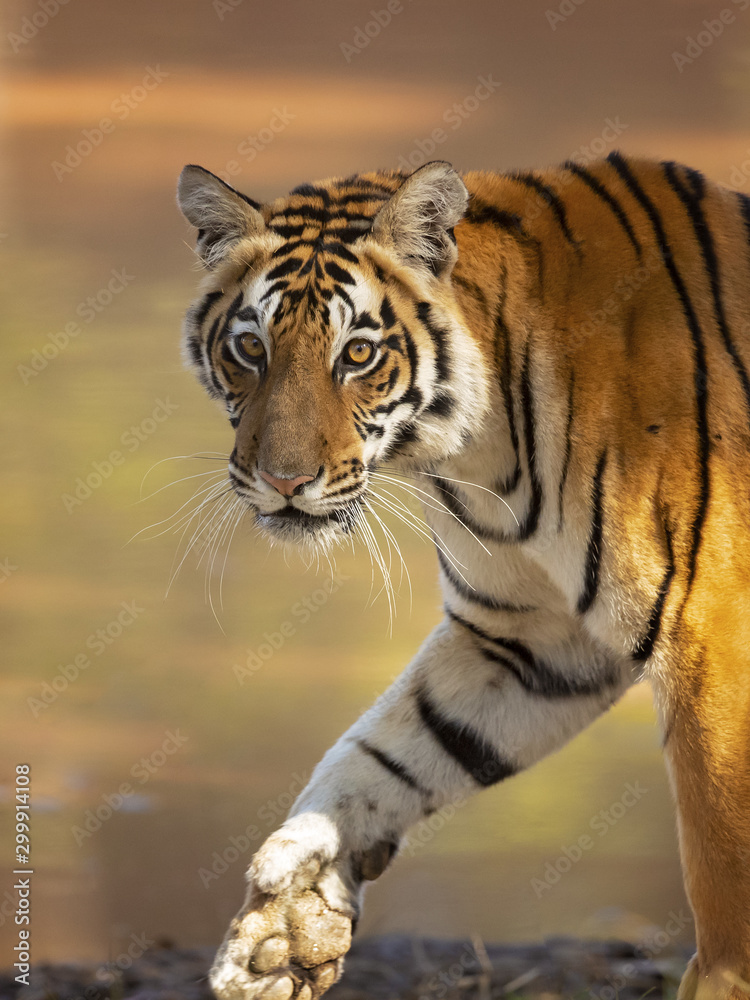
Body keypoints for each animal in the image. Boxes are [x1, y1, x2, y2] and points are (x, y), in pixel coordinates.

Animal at [176, 153, 750, 1000]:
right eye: (250, 348)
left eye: (357, 354)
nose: (283, 482)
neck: (482, 453)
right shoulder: (532, 637)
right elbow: (389, 748)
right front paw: (288, 917)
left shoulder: (713, 634)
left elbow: (723, 859)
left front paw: (721, 981)